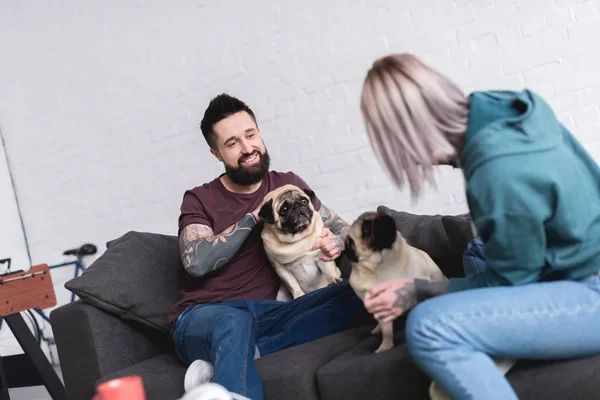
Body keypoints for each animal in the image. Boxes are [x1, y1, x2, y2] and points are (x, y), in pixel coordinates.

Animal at [342, 211, 446, 354]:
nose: (383, 218)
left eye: (380, 214)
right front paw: (385, 347)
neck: (381, 266)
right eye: (366, 229)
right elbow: (387, 332)